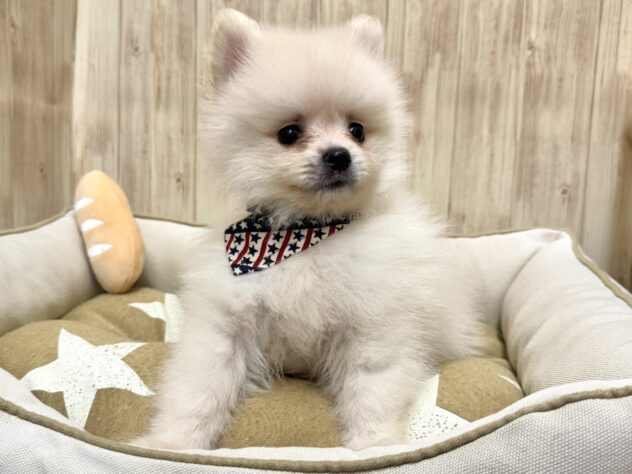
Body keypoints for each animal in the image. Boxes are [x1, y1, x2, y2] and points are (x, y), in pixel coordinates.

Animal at [134, 9, 478, 451]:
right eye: (289, 133)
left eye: (357, 130)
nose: (339, 155)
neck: (307, 234)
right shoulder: (226, 322)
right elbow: (199, 386)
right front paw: (173, 444)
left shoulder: (374, 324)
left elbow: (373, 390)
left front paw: (374, 446)